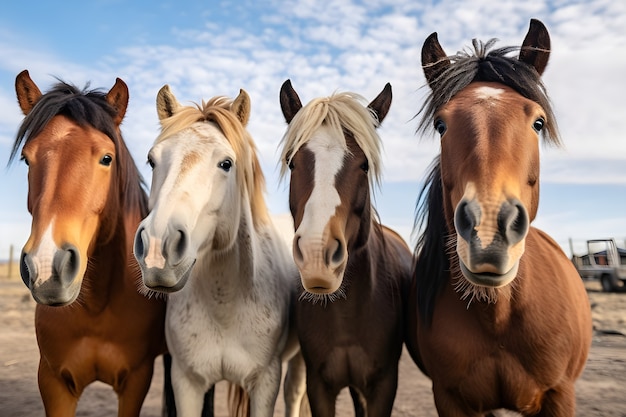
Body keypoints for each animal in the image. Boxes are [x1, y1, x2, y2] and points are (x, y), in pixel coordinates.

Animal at [9, 71, 212, 416]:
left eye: (107, 158)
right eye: (26, 158)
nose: (47, 266)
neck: (97, 306)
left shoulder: (135, 381)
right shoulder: (53, 382)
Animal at [404, 20, 588, 416]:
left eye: (538, 122)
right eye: (441, 125)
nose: (488, 234)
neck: (498, 318)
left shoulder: (560, 394)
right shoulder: (451, 398)